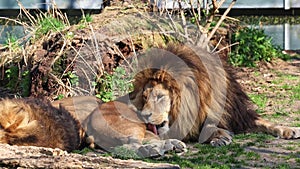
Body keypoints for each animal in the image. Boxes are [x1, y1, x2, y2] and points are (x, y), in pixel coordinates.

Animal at [129, 43, 300, 146]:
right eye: (145, 97)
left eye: (159, 97)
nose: (143, 115)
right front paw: (220, 136)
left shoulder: (238, 116)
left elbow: (266, 123)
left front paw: (289, 129)